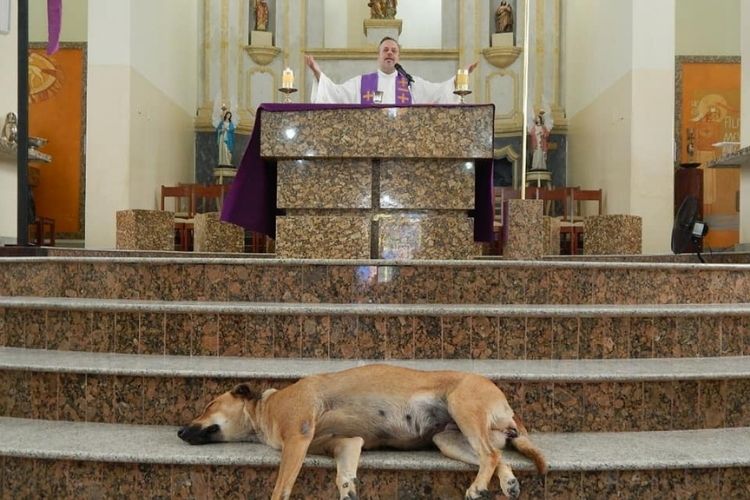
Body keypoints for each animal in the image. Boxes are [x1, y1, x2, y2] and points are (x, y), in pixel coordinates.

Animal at [180, 364, 548, 500]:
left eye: (208, 404)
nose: (181, 431)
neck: (265, 409)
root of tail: (506, 403)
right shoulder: (345, 444)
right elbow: (343, 474)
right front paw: (348, 489)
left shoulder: (297, 437)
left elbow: (281, 487)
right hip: (447, 439)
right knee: (497, 455)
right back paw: (507, 482)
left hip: (462, 405)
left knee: (490, 453)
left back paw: (477, 488)